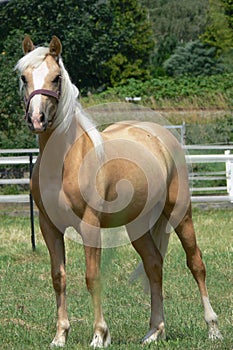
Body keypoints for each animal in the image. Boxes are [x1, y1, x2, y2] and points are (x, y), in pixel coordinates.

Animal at [15, 35, 222, 348]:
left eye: (56, 77)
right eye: (24, 77)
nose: (37, 119)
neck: (65, 160)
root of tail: (161, 135)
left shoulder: (89, 225)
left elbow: (92, 277)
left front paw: (99, 335)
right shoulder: (48, 226)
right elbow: (58, 277)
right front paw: (60, 336)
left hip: (180, 213)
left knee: (195, 263)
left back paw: (212, 328)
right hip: (138, 226)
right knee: (154, 264)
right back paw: (154, 331)